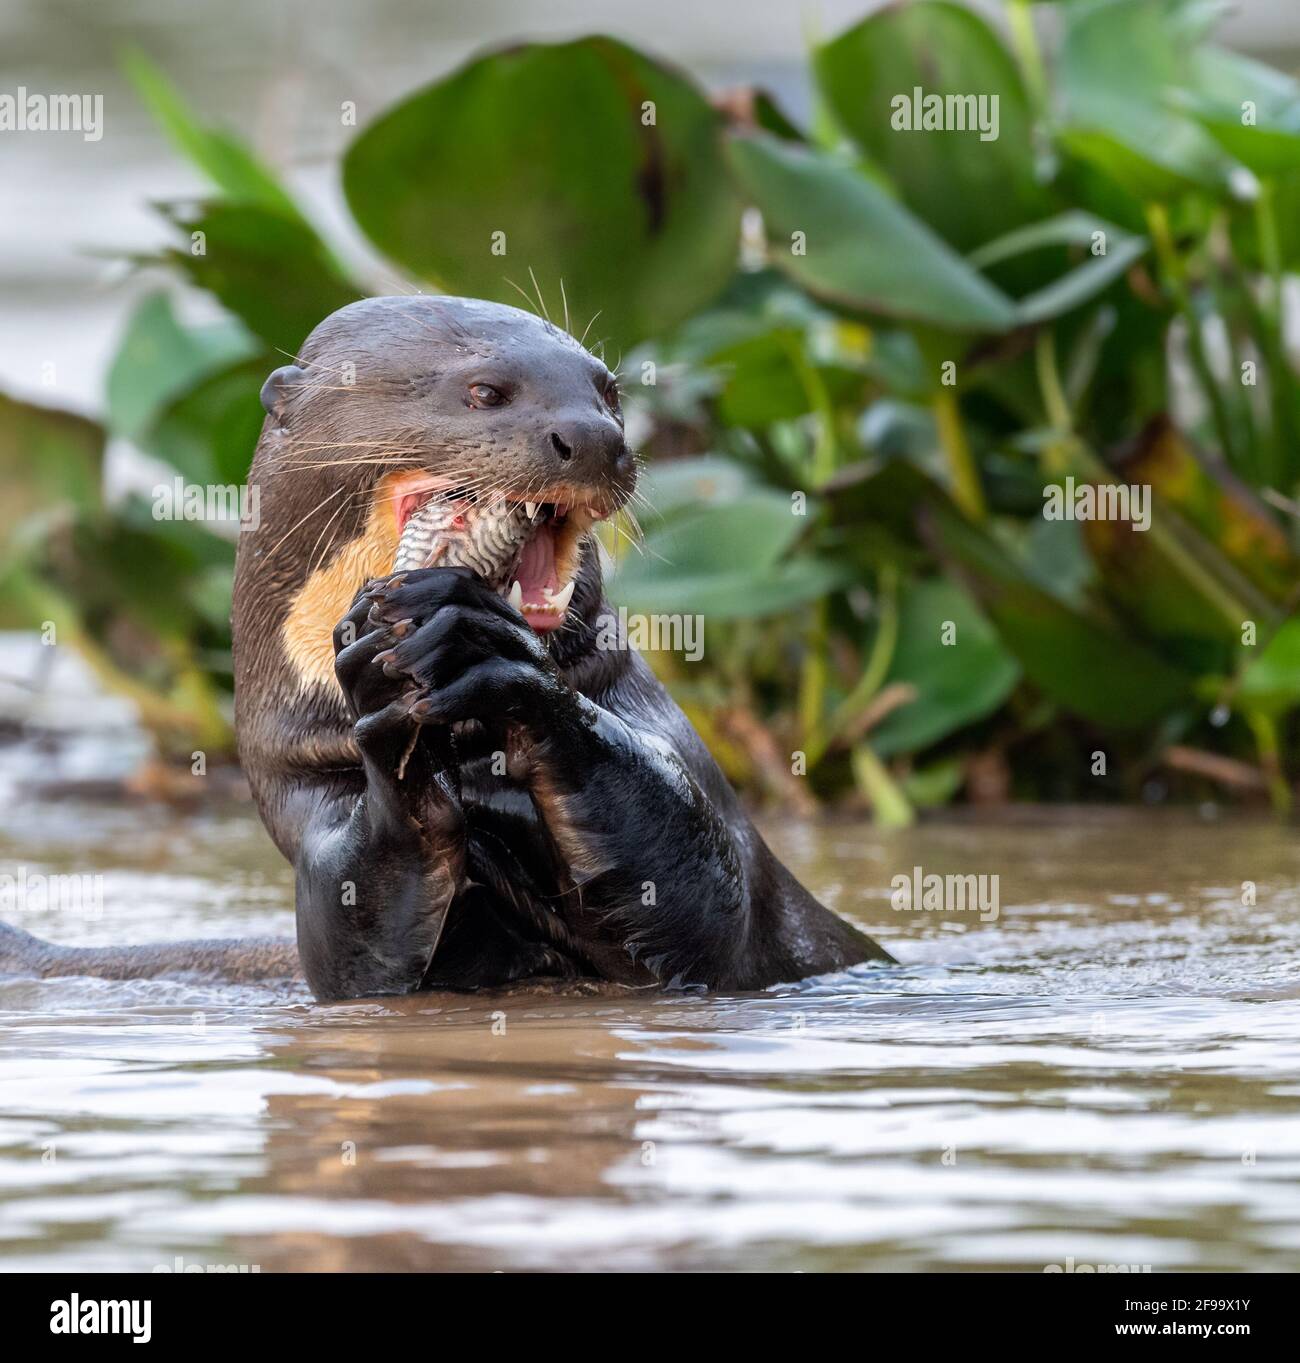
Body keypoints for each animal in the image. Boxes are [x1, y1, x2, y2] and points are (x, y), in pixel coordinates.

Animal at [1, 296, 891, 999]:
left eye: (610, 393)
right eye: (485, 392)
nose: (593, 438)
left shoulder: (670, 747)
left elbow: (712, 894)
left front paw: (485, 648)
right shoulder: (297, 785)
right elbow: (345, 937)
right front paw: (383, 700)